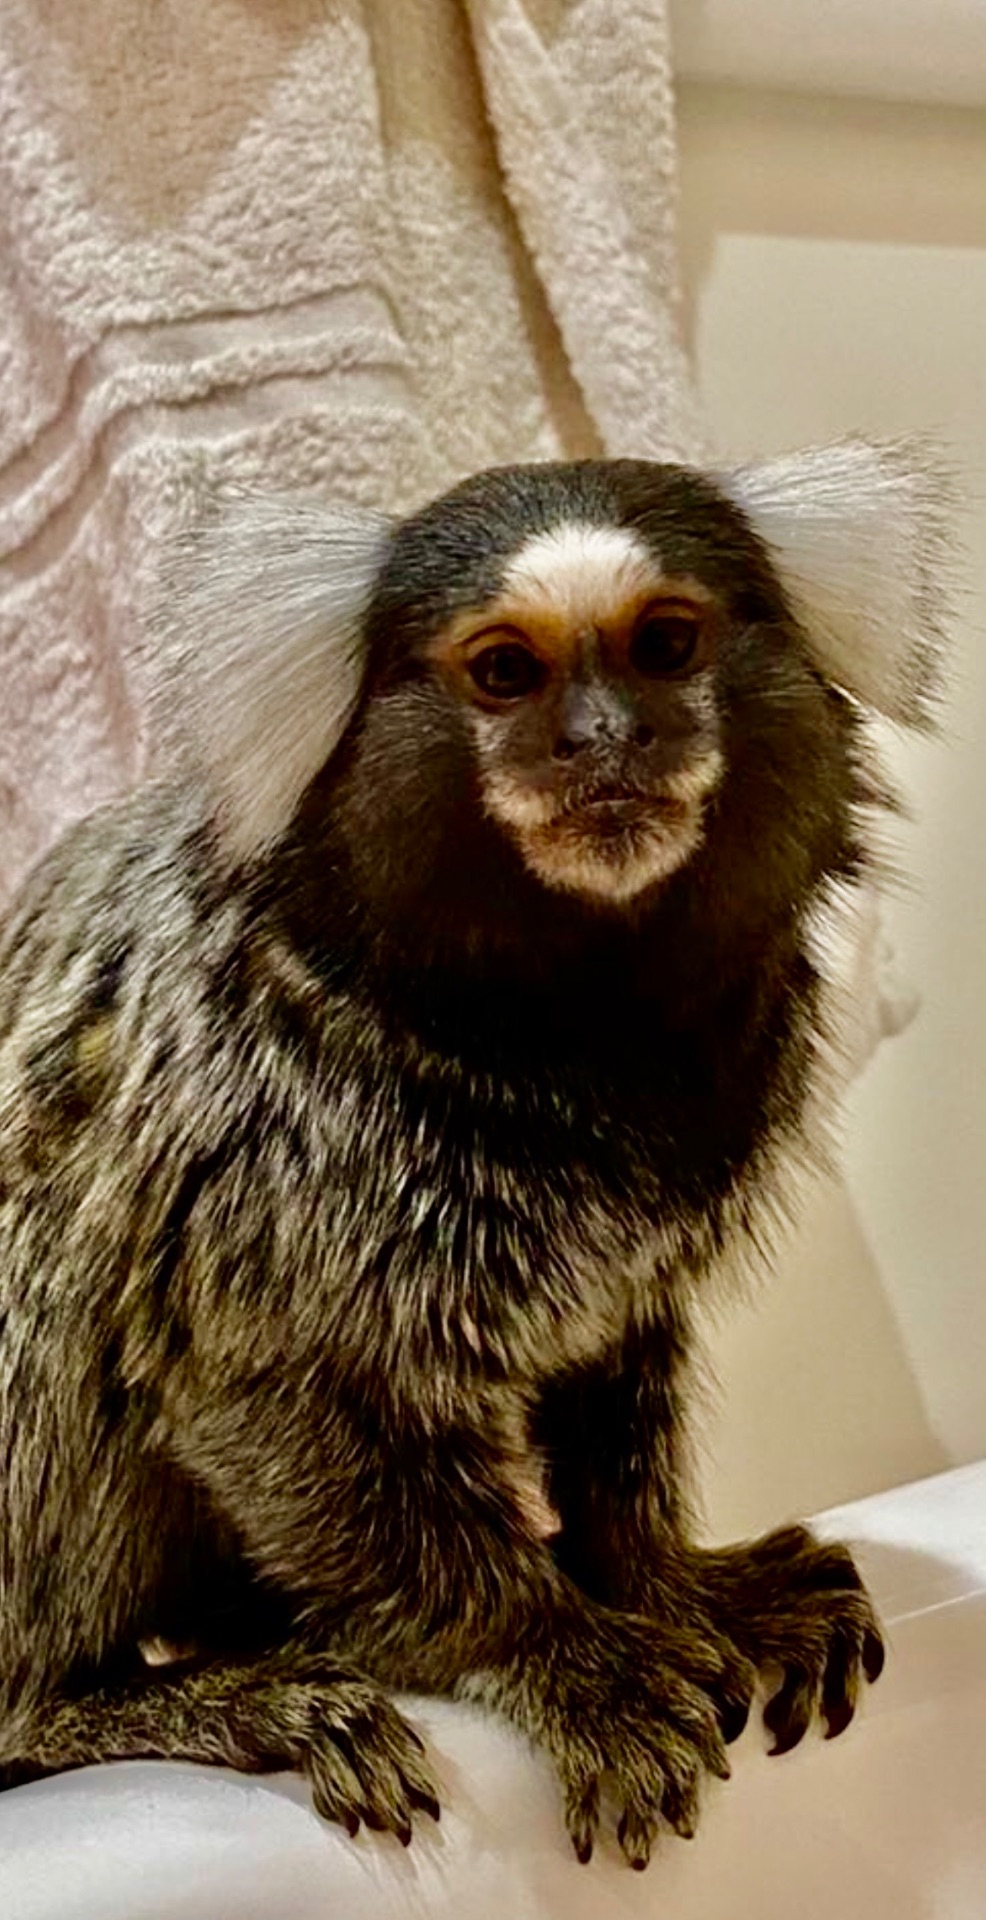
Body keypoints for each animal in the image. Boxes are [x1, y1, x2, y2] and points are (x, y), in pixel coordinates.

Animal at [0, 443, 949, 1870]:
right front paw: (564, 1655)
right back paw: (151, 1700)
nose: (606, 741)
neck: (572, 1026)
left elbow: (614, 1372)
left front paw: (671, 1586)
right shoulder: (268, 1140)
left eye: (664, 645)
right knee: (60, 1272)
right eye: (506, 672)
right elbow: (263, 1392)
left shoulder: (649, 1230)